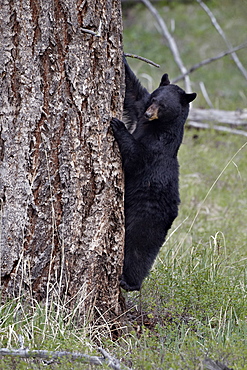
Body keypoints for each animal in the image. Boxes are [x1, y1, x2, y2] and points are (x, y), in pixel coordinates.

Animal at [111, 59, 197, 292]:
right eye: (154, 99)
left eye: (164, 106)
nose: (150, 114)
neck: (155, 125)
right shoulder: (139, 109)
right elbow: (132, 92)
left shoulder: (158, 146)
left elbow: (136, 157)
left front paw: (118, 126)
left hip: (147, 217)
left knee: (139, 248)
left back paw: (130, 282)